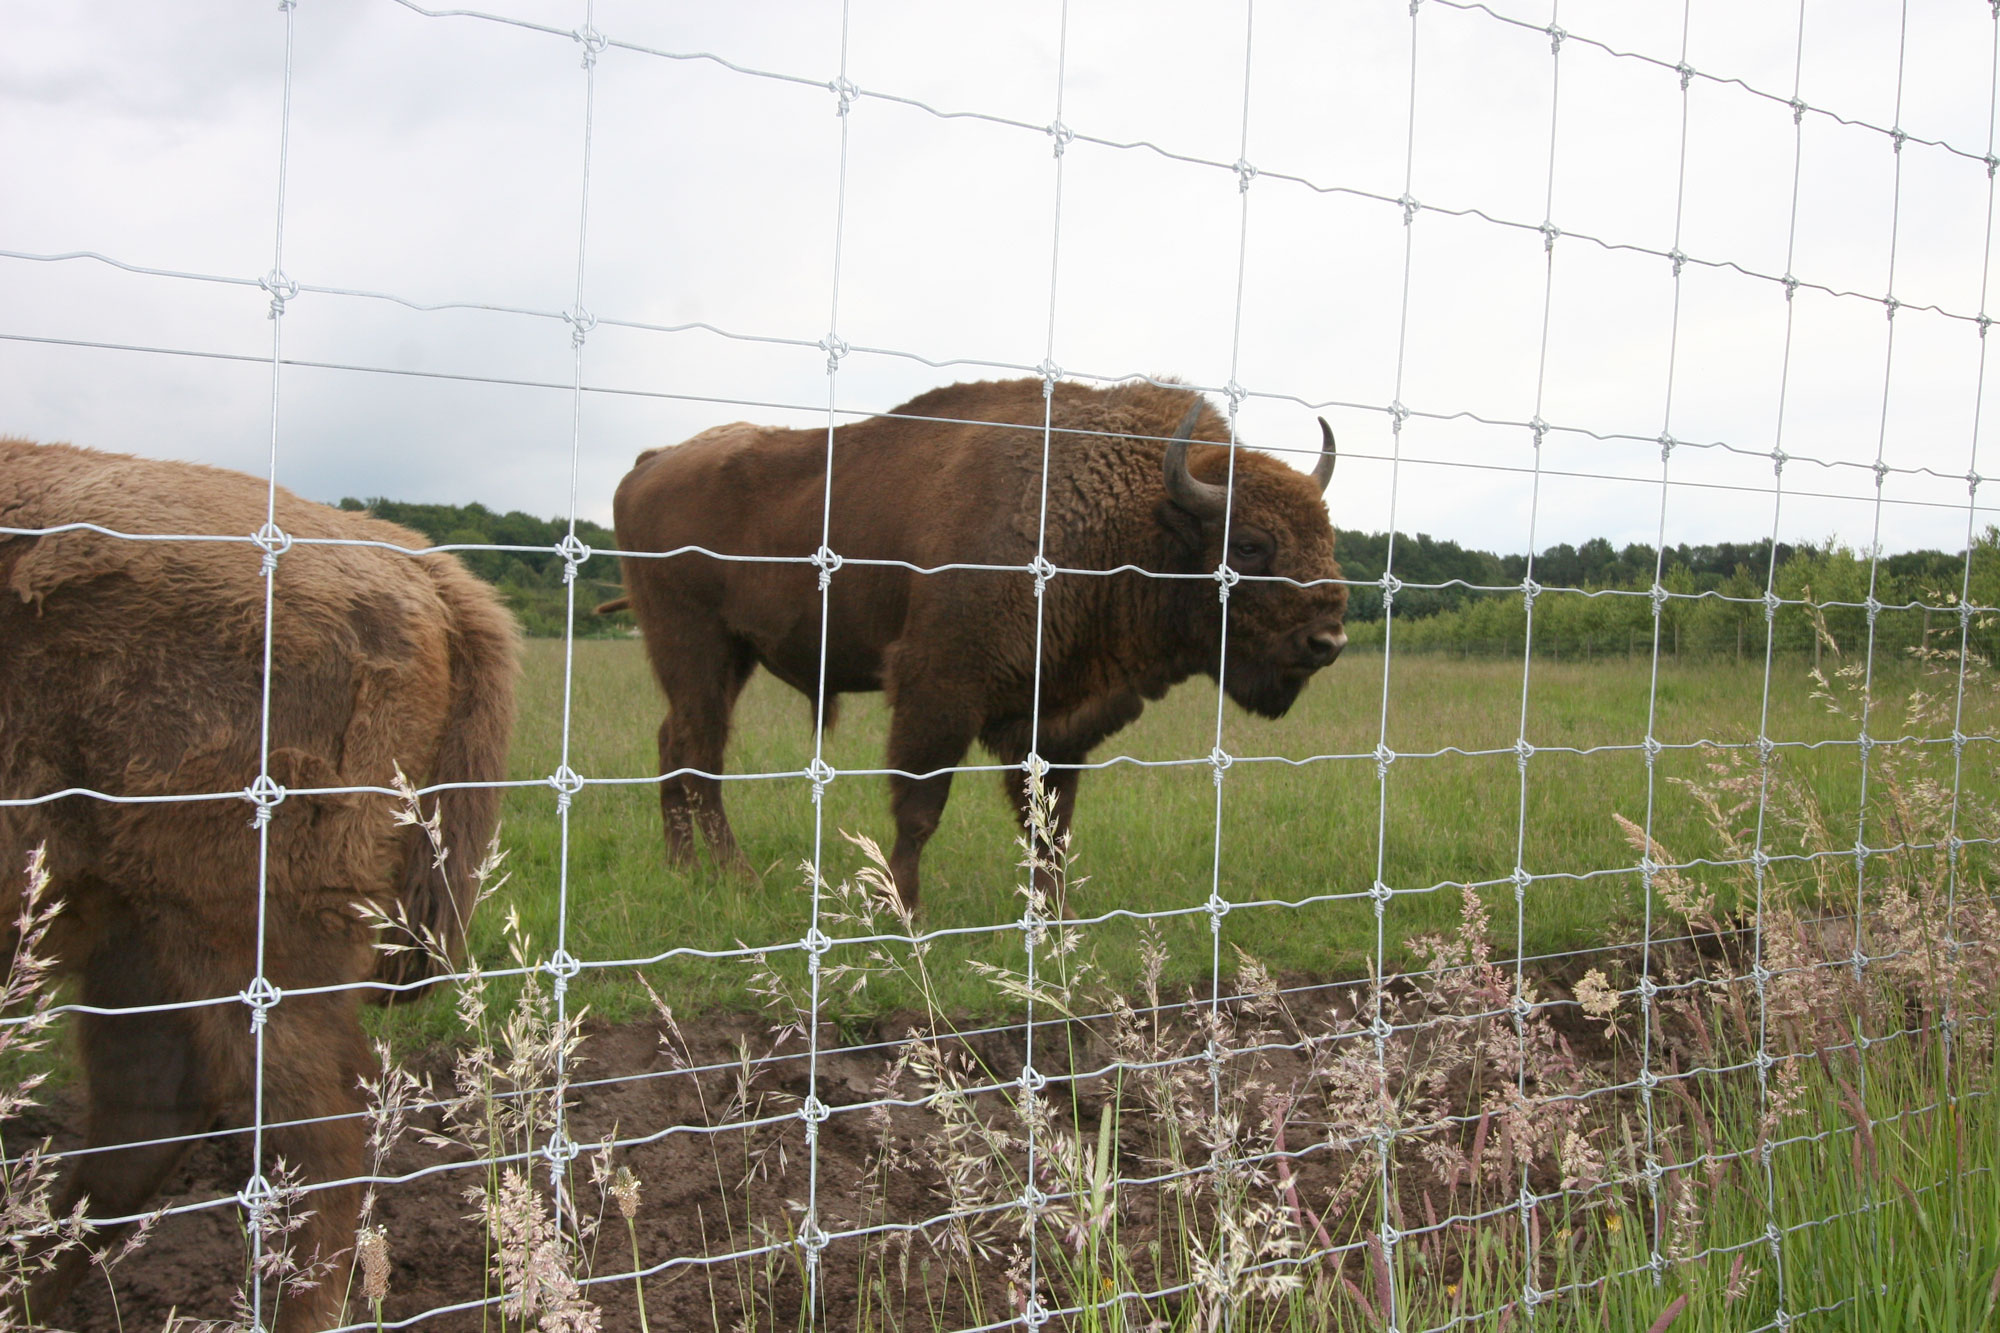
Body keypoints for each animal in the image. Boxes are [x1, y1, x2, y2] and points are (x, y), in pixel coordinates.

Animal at [616, 370, 1352, 904]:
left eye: (1326, 532)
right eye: (1250, 543)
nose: (1329, 641)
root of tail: (649, 463)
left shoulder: (1057, 716)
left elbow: (1050, 825)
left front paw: (1054, 916)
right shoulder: (940, 690)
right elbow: (920, 808)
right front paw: (903, 908)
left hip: (725, 657)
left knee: (673, 741)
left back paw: (682, 868)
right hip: (696, 645)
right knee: (701, 753)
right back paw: (736, 876)